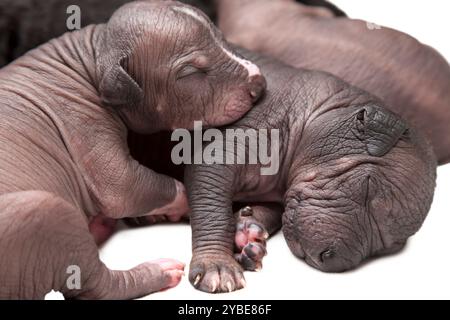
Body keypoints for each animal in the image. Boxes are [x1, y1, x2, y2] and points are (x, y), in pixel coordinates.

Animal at [0, 0, 264, 300]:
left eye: (221, 39)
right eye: (190, 73)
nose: (258, 81)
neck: (95, 56)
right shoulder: (84, 123)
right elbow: (127, 186)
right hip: (42, 211)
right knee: (97, 287)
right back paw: (158, 271)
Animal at [185, 48, 438, 294]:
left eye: (388, 246)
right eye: (367, 189)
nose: (330, 259)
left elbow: (270, 210)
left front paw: (249, 232)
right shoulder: (241, 135)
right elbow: (210, 196)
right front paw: (216, 264)